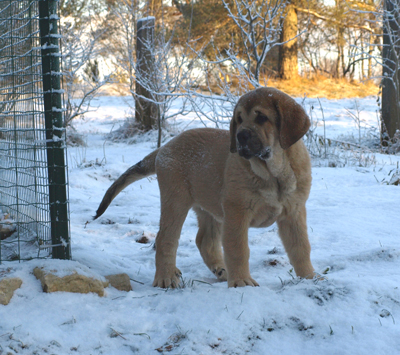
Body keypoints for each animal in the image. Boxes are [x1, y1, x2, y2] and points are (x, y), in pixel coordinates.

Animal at [94, 87, 316, 290]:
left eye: (262, 117)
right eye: (239, 119)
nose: (240, 136)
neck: (273, 173)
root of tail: (164, 147)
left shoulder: (294, 213)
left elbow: (300, 248)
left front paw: (310, 278)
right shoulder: (237, 213)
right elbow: (238, 249)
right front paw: (242, 282)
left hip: (210, 207)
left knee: (204, 240)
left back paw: (221, 270)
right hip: (176, 201)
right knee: (165, 239)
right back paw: (166, 277)